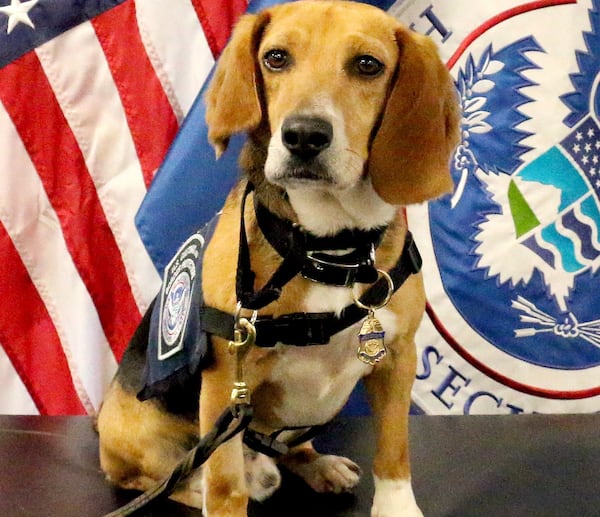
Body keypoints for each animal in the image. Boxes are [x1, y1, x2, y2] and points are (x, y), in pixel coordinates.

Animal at [97, 2, 460, 512]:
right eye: (276, 58)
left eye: (368, 65)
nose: (304, 135)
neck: (327, 249)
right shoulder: (227, 383)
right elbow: (225, 486)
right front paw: (224, 500)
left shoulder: (397, 359)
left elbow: (393, 453)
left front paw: (397, 509)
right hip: (139, 438)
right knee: (162, 479)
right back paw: (215, 482)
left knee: (291, 449)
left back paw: (318, 465)